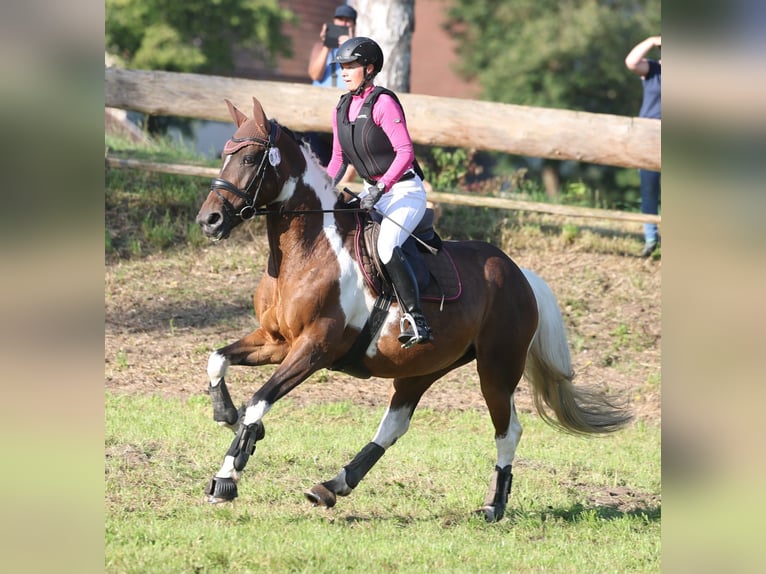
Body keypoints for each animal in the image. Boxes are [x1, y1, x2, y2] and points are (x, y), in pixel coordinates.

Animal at [194, 97, 632, 522]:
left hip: (496, 368)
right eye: (225, 154)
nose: (209, 220)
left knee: (507, 431)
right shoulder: (275, 341)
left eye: (251, 159)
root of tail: (519, 274)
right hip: (424, 366)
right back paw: (332, 486)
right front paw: (227, 415)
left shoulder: (314, 348)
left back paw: (494, 505)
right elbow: (217, 360)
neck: (309, 250)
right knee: (395, 424)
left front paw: (226, 477)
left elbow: (259, 401)